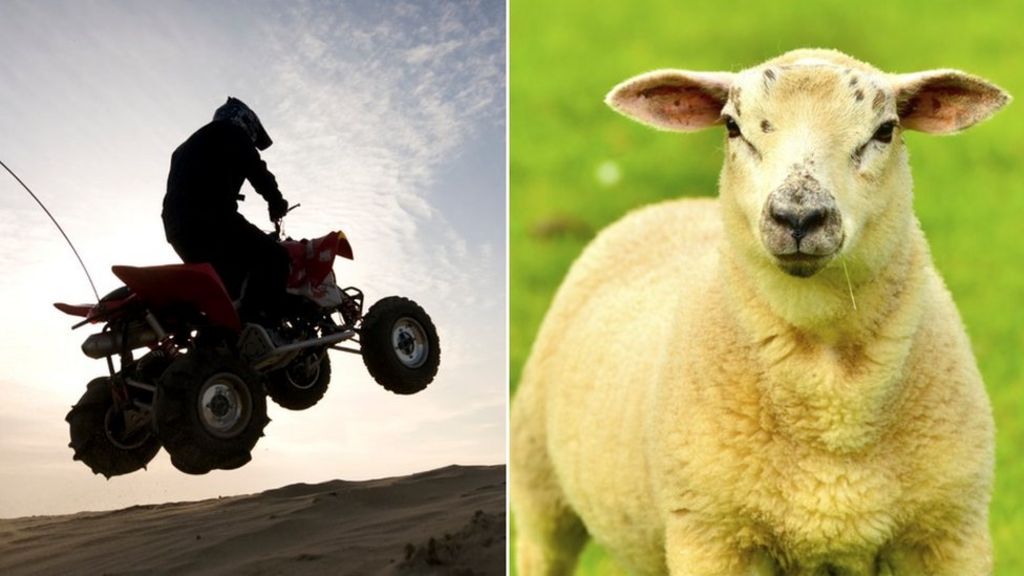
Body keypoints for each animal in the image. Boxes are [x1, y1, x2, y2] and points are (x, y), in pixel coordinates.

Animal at [511, 48, 1010, 576]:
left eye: (885, 130)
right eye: (733, 126)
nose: (798, 216)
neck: (835, 398)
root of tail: (672, 204)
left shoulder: (952, 535)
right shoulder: (711, 537)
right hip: (540, 490)